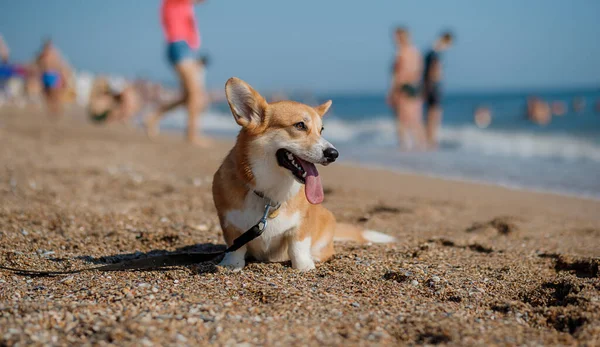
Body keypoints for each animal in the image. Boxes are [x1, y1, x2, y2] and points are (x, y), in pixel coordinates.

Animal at [211, 78, 394, 272]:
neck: (270, 192)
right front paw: (231, 265)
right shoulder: (229, 224)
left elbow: (298, 247)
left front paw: (305, 266)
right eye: (300, 125)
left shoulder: (300, 227)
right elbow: (235, 247)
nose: (334, 154)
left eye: (321, 130)